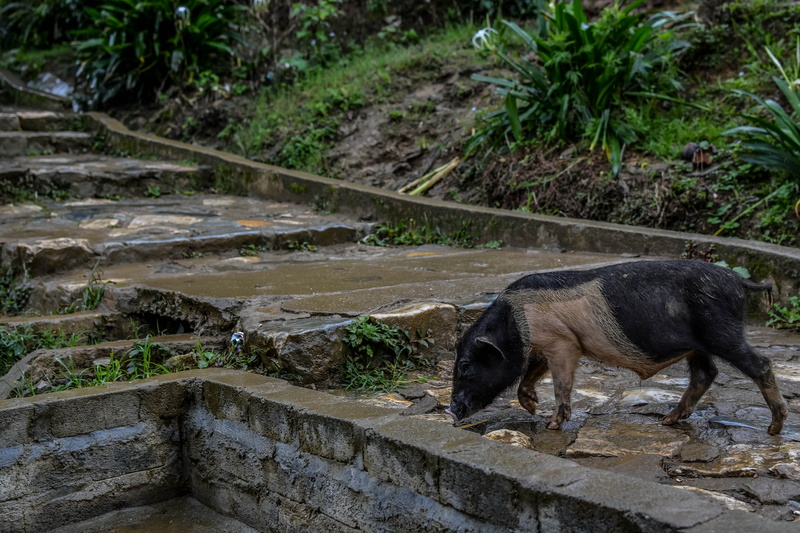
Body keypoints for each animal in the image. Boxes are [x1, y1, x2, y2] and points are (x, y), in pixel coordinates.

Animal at [446, 260, 788, 435]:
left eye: (465, 366)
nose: (450, 411)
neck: (515, 324)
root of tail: (739, 281)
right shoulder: (549, 344)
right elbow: (531, 373)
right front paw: (530, 405)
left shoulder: (563, 343)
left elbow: (561, 383)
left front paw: (550, 423)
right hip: (699, 345)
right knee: (705, 374)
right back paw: (668, 420)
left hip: (722, 333)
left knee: (761, 364)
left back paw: (774, 428)